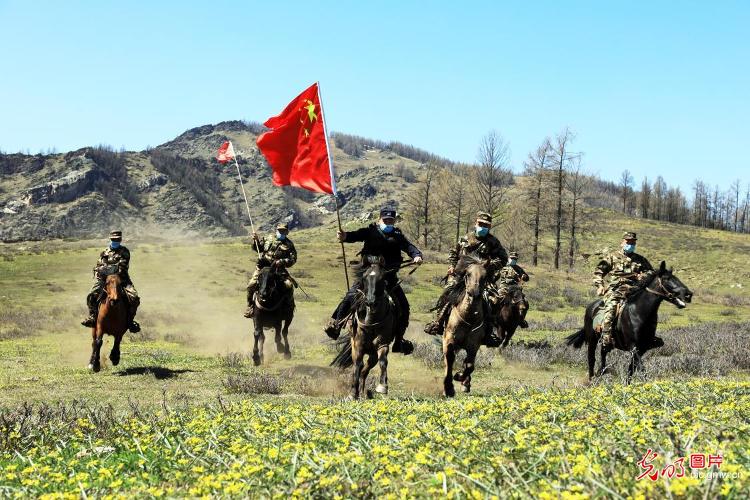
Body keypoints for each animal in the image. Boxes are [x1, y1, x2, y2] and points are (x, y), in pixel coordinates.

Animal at [332, 256, 396, 400]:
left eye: (382, 278)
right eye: (364, 278)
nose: (370, 301)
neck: (371, 321)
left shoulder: (383, 344)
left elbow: (383, 362)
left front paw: (382, 387)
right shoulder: (358, 345)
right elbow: (357, 365)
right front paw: (352, 394)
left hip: (372, 354)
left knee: (365, 371)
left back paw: (364, 393)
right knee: (360, 368)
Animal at [440, 254, 494, 398]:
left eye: (485, 276)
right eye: (468, 274)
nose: (474, 293)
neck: (469, 316)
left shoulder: (473, 344)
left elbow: (469, 365)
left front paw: (459, 376)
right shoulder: (449, 340)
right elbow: (450, 360)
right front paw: (448, 388)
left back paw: (465, 383)